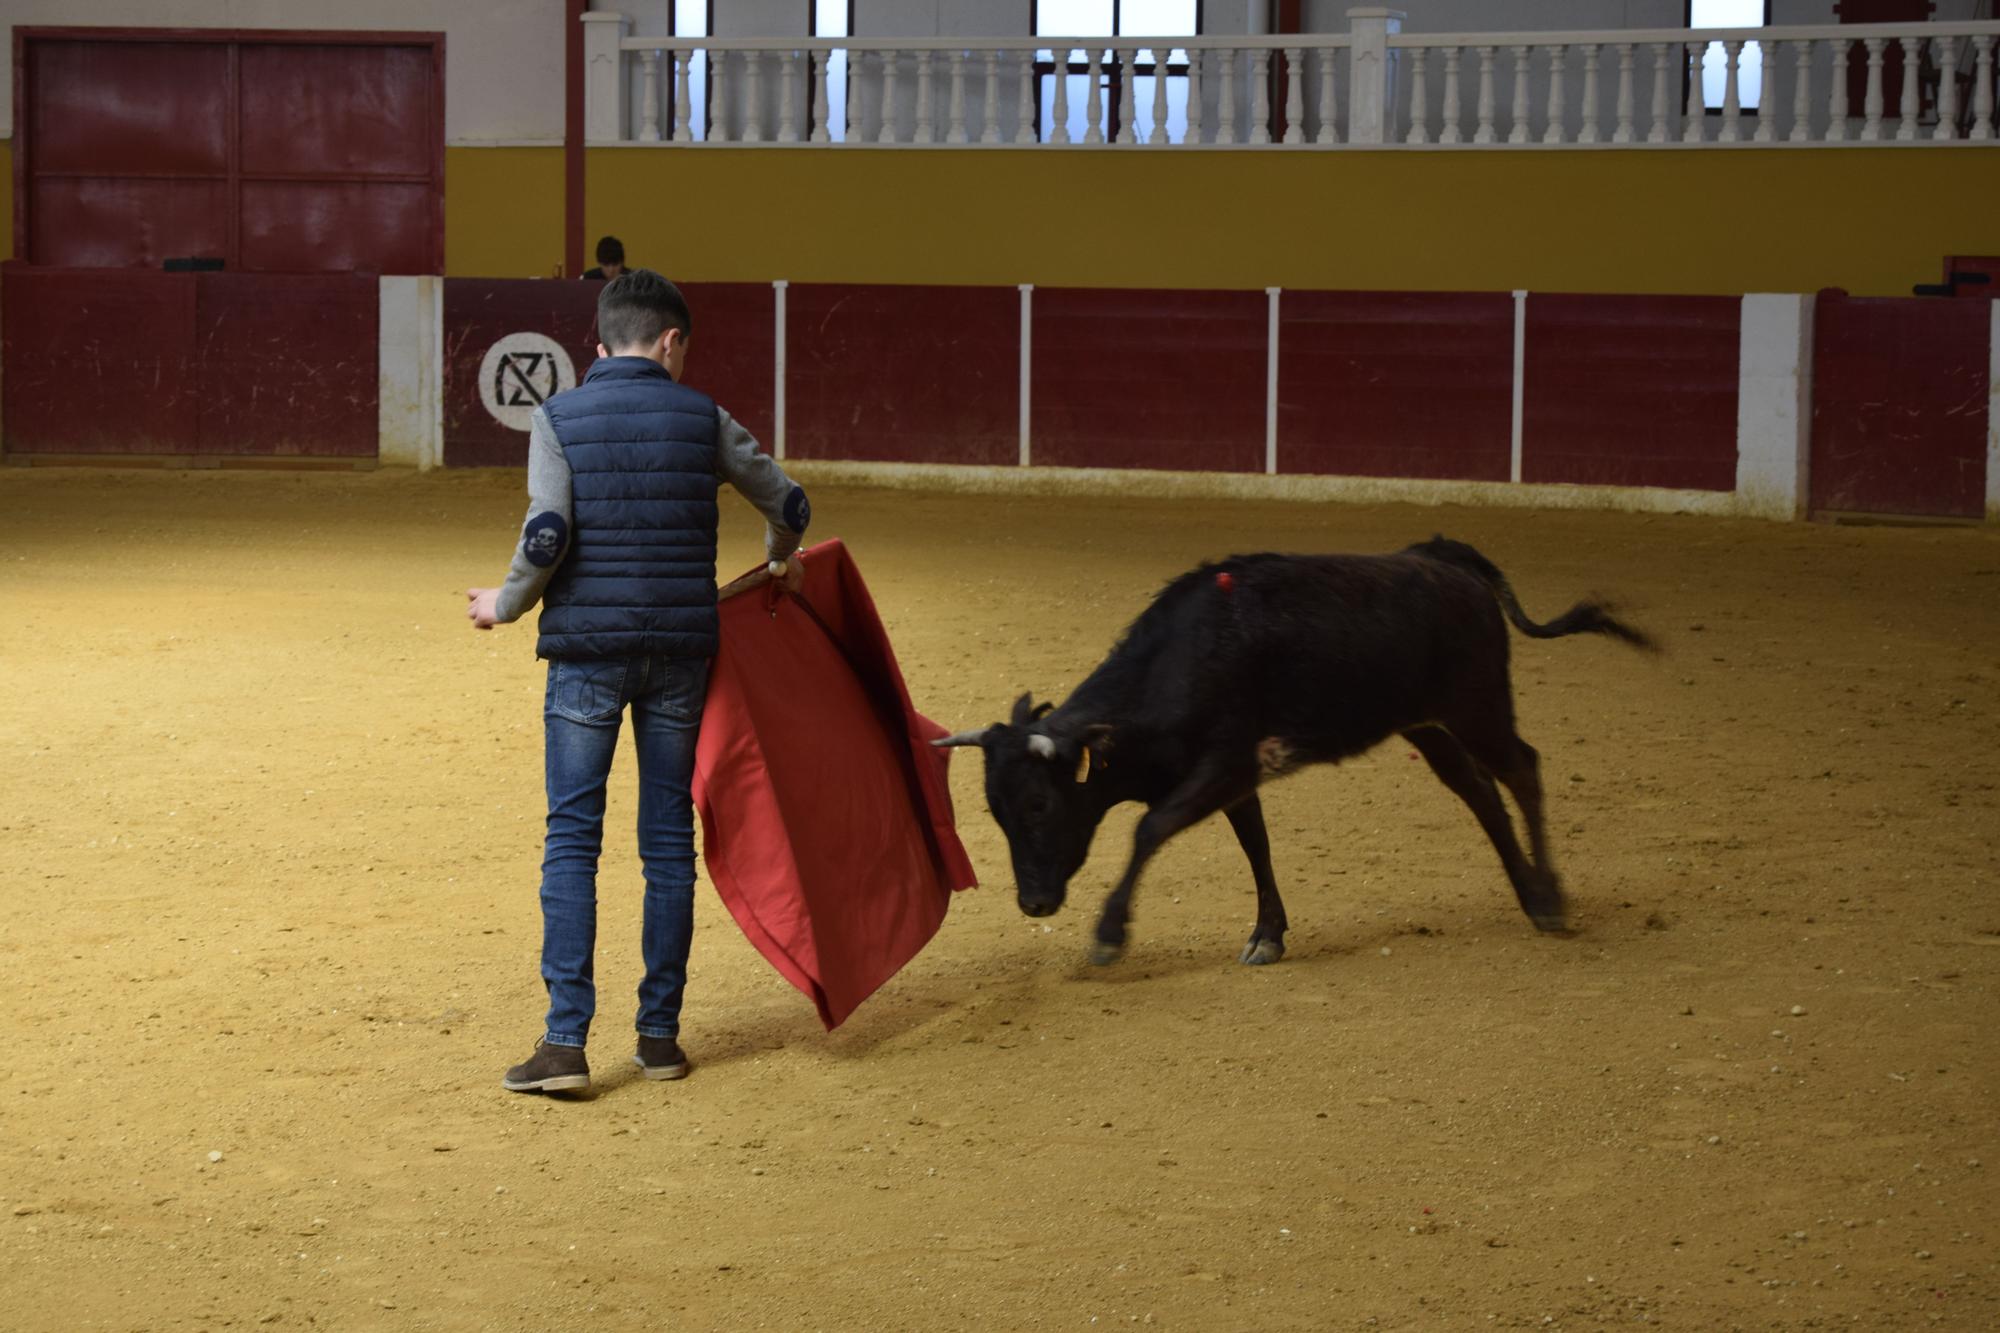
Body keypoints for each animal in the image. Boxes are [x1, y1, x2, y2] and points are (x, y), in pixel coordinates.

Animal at [936, 536, 1656, 964]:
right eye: (994, 812)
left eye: (1037, 804)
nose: (1033, 903)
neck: (1175, 664)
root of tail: (1443, 559)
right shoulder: (1233, 780)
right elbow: (1256, 846)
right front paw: (1268, 934)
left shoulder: (1222, 766)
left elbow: (1150, 829)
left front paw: (1110, 934)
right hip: (1427, 726)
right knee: (1479, 791)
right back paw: (1528, 892)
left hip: (1477, 707)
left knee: (1522, 770)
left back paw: (1550, 898)